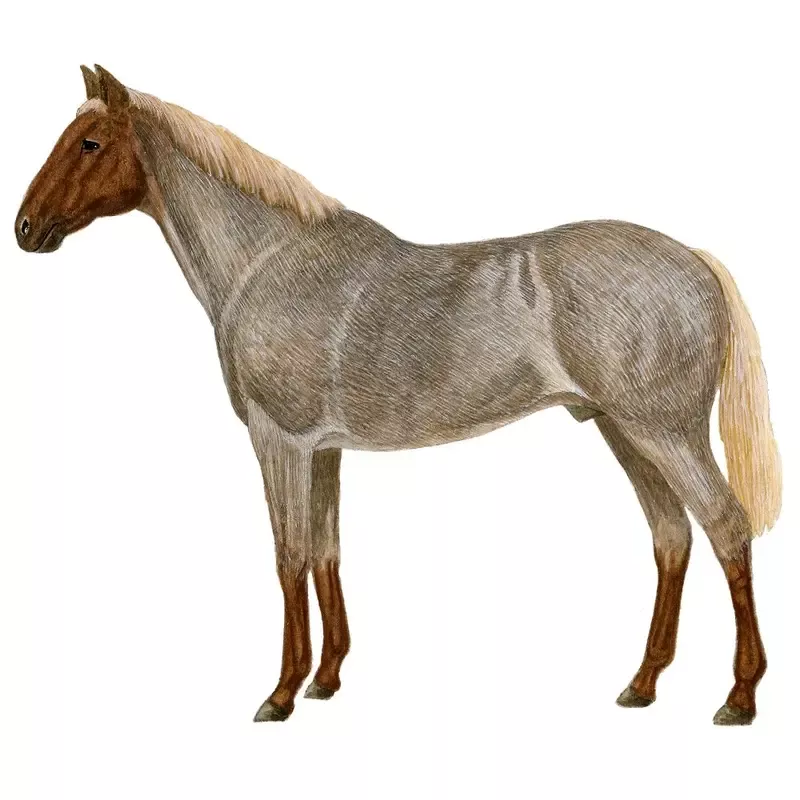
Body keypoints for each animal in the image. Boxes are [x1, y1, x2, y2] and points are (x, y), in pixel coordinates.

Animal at [15, 65, 781, 726]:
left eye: (89, 142)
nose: (24, 227)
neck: (268, 262)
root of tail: (694, 263)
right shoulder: (323, 451)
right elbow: (326, 551)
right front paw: (326, 680)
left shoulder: (279, 441)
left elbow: (289, 557)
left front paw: (281, 693)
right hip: (623, 432)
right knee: (672, 537)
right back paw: (642, 685)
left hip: (665, 432)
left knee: (726, 527)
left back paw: (739, 698)